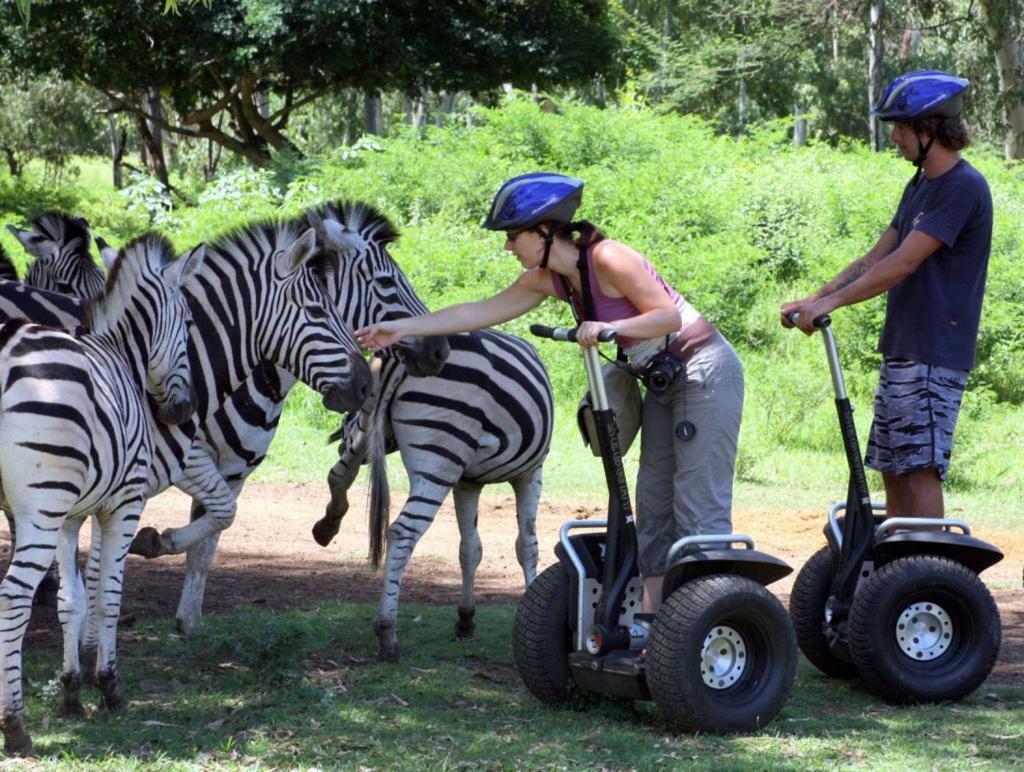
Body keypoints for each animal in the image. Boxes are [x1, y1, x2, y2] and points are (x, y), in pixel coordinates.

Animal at [0, 233, 203, 753]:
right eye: (189, 323)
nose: (183, 411)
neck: (122, 355)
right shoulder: (124, 505)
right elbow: (108, 596)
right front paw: (109, 687)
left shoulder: (70, 516)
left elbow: (72, 599)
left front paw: (71, 692)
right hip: (39, 511)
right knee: (13, 597)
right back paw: (16, 727)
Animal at [315, 327, 557, 659]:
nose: (339, 440)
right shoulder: (530, 474)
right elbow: (527, 545)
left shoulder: (467, 482)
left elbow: (470, 549)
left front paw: (466, 619)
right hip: (438, 459)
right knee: (402, 531)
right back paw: (387, 630)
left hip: (371, 432)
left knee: (338, 476)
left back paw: (326, 527)